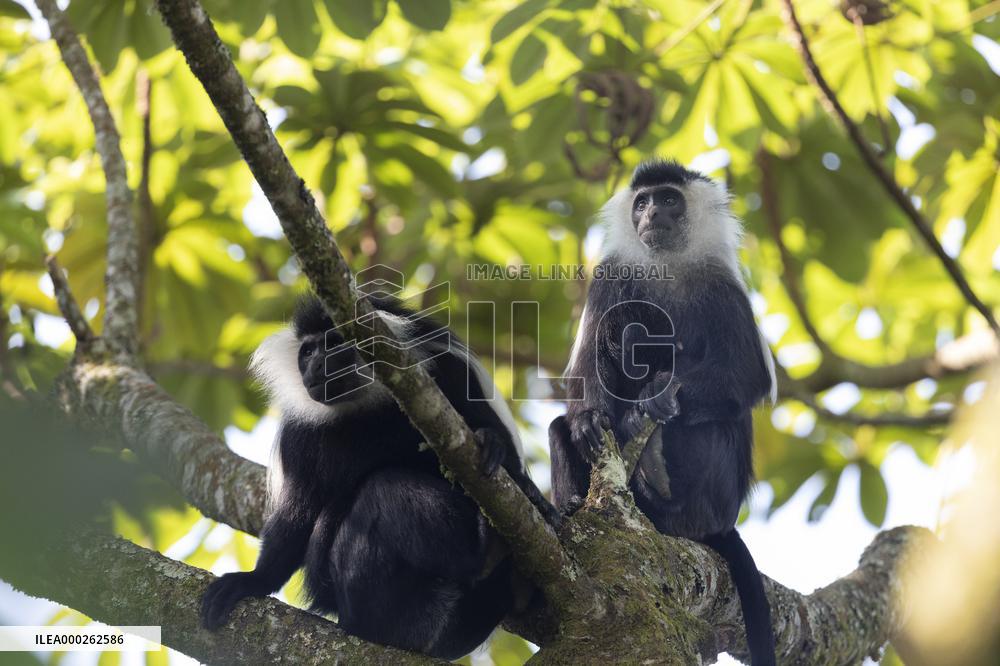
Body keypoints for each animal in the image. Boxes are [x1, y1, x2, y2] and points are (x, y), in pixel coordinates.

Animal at [201, 293, 557, 659]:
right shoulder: (298, 437)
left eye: (334, 345)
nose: (315, 367)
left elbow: (501, 451)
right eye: (308, 352)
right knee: (381, 495)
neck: (365, 403)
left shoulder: (451, 370)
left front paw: (513, 470)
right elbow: (296, 516)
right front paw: (253, 581)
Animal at [549, 159, 778, 665]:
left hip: (713, 497)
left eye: (669, 199)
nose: (652, 212)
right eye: (642, 202)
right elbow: (582, 376)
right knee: (561, 424)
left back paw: (658, 474)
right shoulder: (608, 277)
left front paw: (655, 393)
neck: (666, 266)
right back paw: (579, 499)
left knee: (713, 424)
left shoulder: (723, 286)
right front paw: (591, 421)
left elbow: (745, 374)